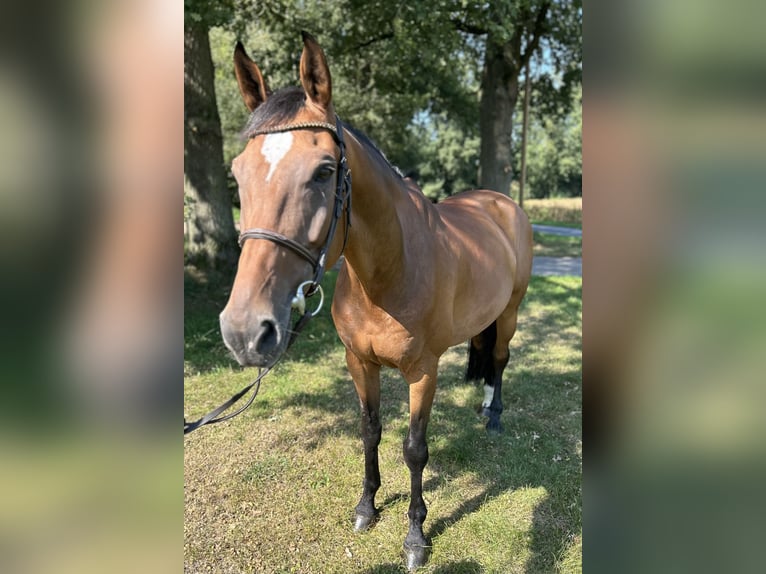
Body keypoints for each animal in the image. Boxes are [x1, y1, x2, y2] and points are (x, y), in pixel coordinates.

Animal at [218, 33, 536, 572]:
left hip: (511, 312)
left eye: (324, 172)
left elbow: (415, 449)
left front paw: (415, 536)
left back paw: (493, 415)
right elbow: (370, 432)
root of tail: (501, 202)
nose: (244, 331)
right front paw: (367, 508)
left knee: (499, 357)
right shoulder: (359, 363)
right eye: (238, 174)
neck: (387, 275)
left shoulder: (423, 372)